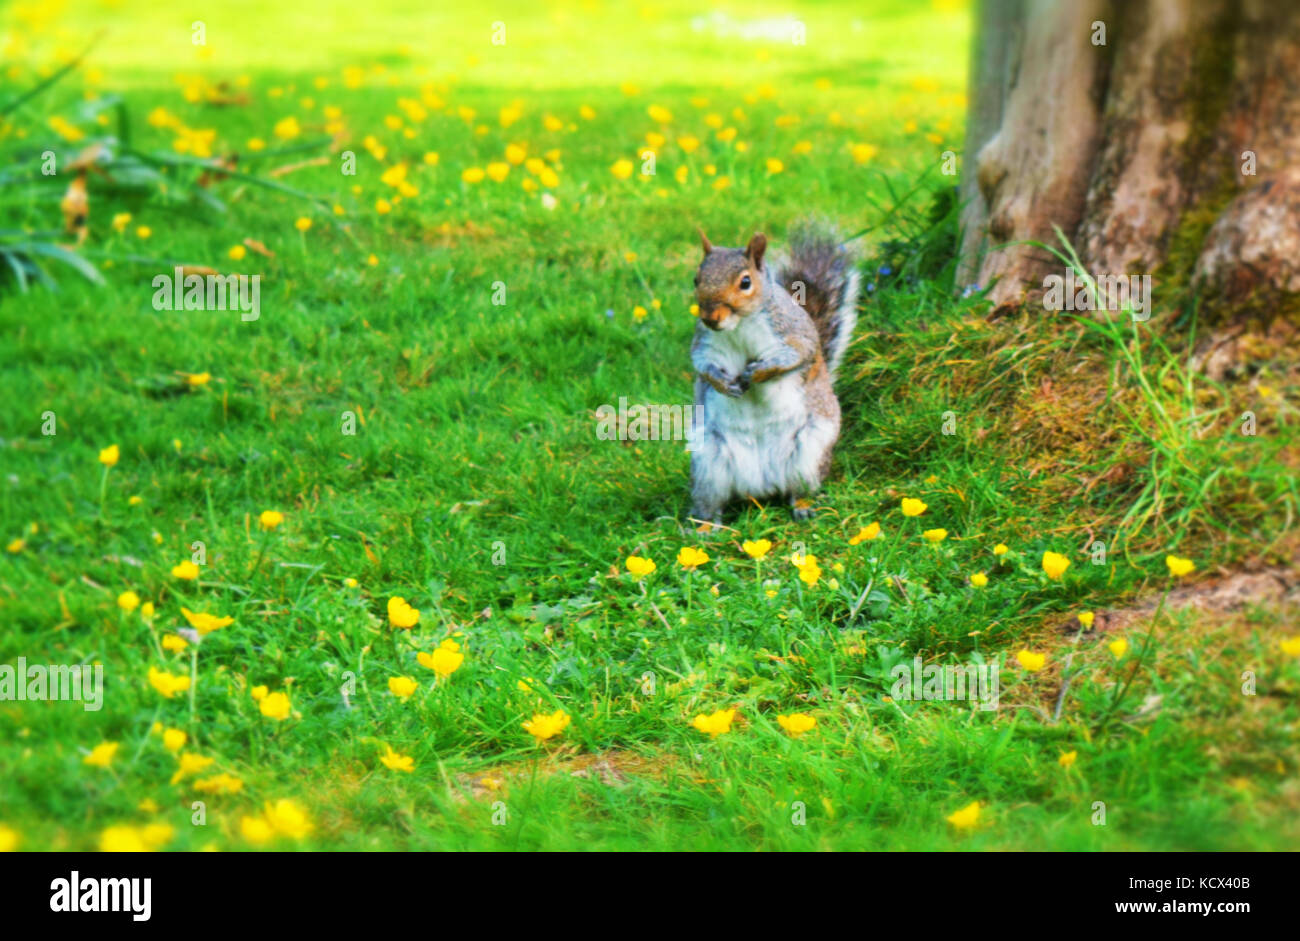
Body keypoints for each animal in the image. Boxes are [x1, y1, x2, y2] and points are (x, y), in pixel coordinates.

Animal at [686, 222, 857, 530]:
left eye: (745, 282)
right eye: (696, 279)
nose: (710, 317)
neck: (739, 325)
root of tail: (761, 486)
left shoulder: (793, 332)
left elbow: (796, 356)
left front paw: (757, 372)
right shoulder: (704, 343)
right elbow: (701, 364)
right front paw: (722, 383)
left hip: (809, 453)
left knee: (801, 488)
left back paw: (804, 506)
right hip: (708, 462)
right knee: (710, 502)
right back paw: (704, 526)